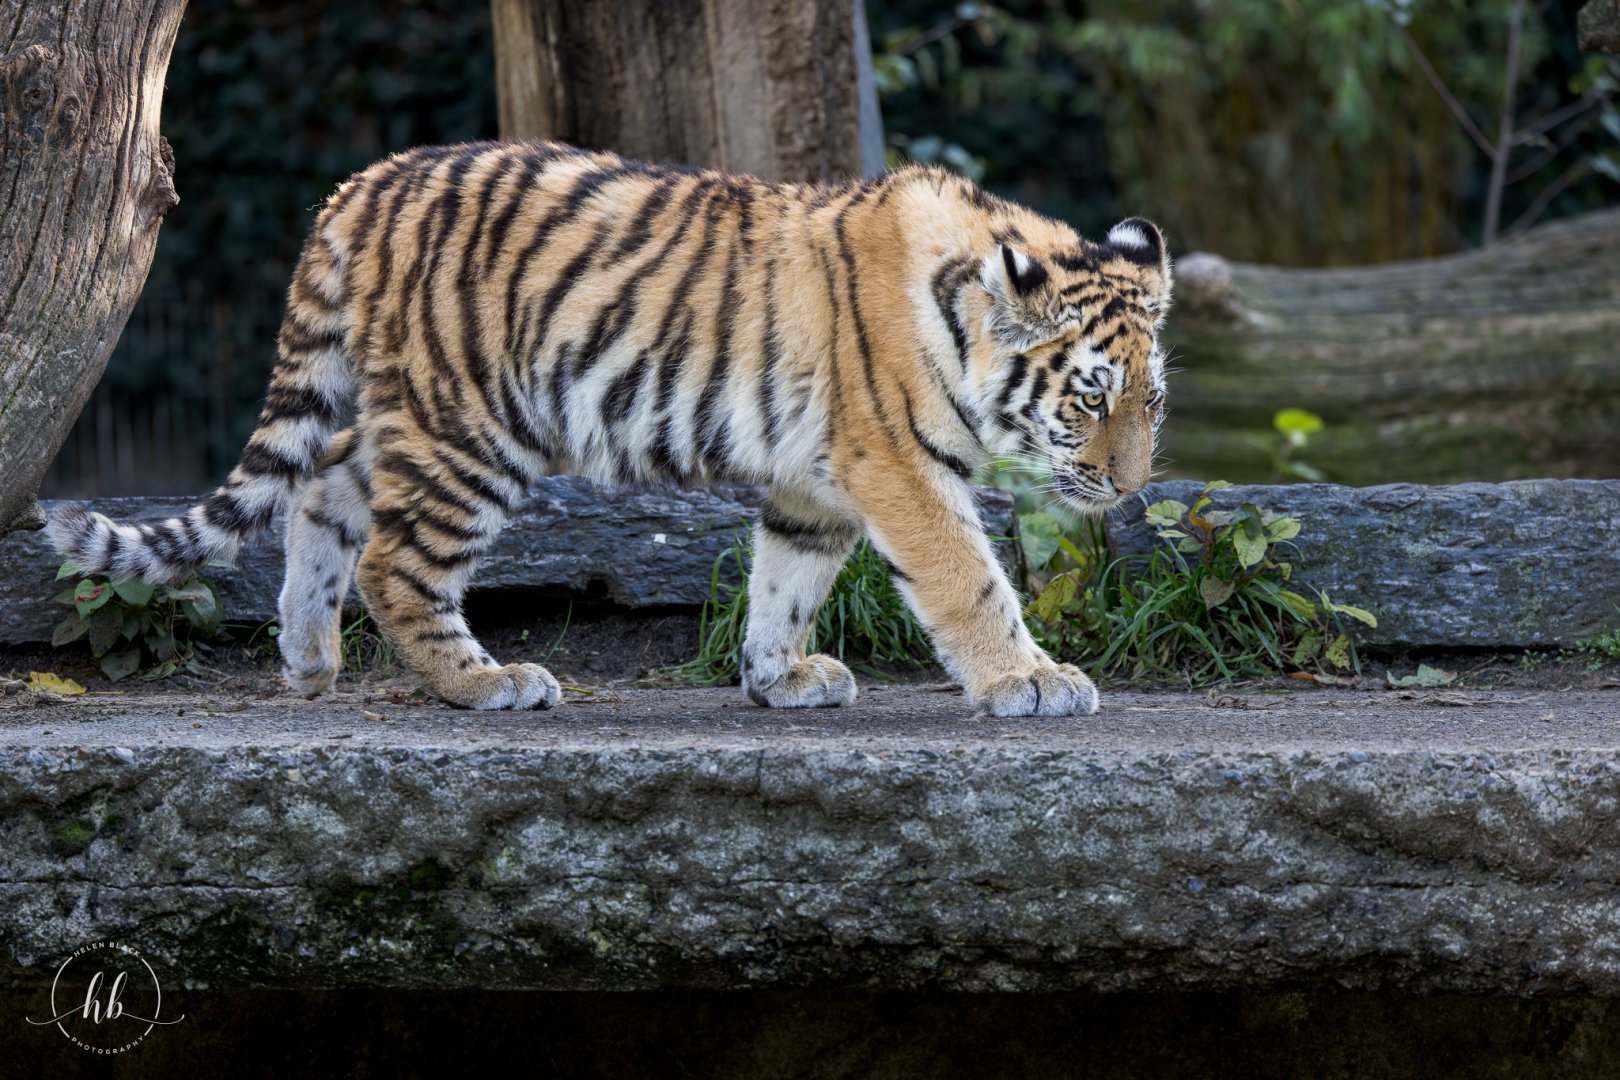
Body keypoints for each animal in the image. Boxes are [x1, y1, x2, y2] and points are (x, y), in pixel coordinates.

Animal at [47, 140, 1172, 717]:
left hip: (401, 408)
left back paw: (308, 659)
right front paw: (1032, 680)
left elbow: (788, 581)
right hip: (472, 425)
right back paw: (485, 682)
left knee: (319, 494)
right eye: (1089, 397)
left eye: (1150, 403)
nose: (1127, 488)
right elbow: (968, 578)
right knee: (396, 562)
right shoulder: (897, 463)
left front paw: (778, 676)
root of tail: (359, 186)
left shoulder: (812, 482)